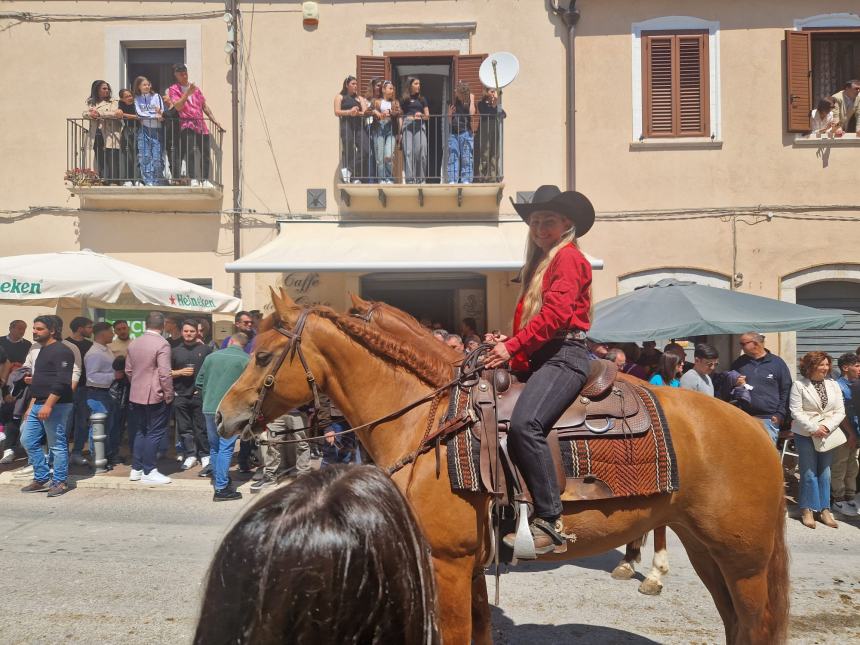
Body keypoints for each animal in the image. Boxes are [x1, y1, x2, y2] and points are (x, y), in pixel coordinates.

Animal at [218, 294, 788, 644]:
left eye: (264, 356)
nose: (223, 416)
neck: (430, 418)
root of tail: (755, 429)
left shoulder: (447, 564)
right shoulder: (469, 565)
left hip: (745, 561)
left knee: (755, 625)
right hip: (709, 550)